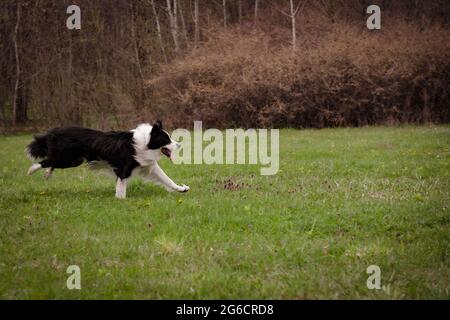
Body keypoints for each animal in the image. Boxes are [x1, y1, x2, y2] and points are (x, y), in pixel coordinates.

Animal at [25, 121, 190, 199]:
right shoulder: (124, 169)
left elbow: (166, 179)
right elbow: (121, 188)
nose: (179, 144)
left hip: (72, 160)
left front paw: (181, 189)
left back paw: (47, 174)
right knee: (45, 161)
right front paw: (120, 200)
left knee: (51, 161)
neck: (145, 143)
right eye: (166, 139)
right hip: (69, 159)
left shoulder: (149, 166)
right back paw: (31, 170)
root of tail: (55, 131)